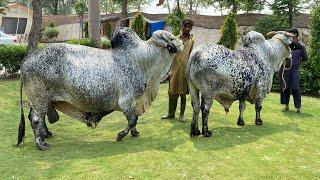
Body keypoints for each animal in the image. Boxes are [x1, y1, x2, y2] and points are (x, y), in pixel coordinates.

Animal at [16, 27, 182, 150]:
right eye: (171, 38)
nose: (182, 43)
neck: (143, 59)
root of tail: (27, 59)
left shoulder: (136, 101)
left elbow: (135, 119)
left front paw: (135, 133)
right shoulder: (127, 101)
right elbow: (132, 119)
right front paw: (121, 135)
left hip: (39, 101)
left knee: (37, 117)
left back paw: (46, 134)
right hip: (39, 98)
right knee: (36, 119)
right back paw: (41, 144)